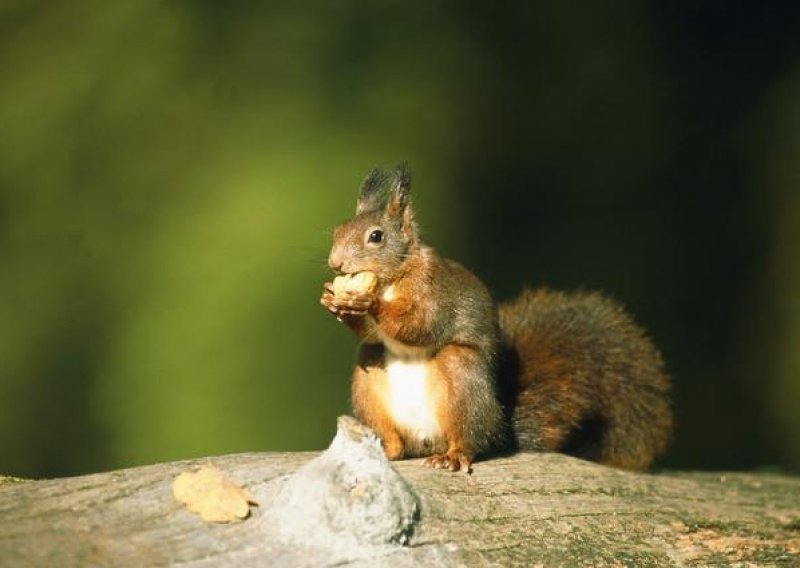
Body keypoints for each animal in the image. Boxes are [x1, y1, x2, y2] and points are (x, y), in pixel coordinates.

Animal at [318, 165, 668, 474]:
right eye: (337, 231)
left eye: (376, 237)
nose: (336, 264)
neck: (392, 277)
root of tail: (500, 427)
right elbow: (372, 336)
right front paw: (334, 301)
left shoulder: (433, 289)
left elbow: (422, 324)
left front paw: (370, 302)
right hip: (371, 381)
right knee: (392, 419)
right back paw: (386, 449)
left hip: (462, 379)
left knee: (468, 438)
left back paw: (454, 455)